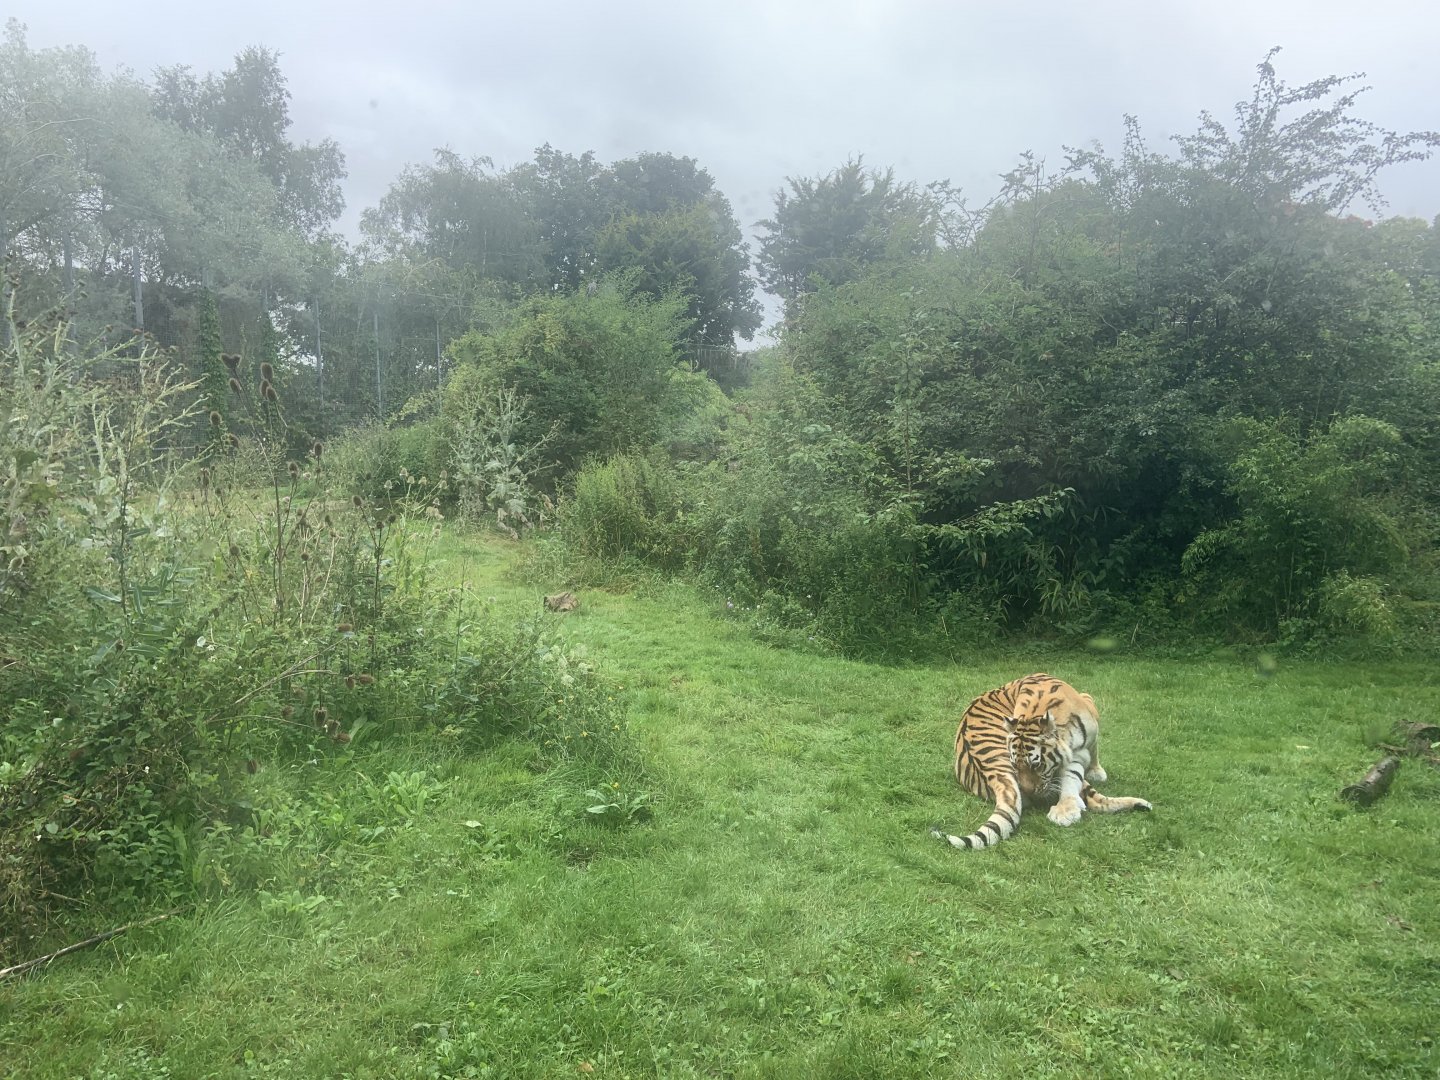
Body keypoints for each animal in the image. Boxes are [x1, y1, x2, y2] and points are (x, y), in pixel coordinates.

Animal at [931, 673, 1151, 850]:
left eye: (1036, 765)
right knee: (1096, 800)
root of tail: (990, 770)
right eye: (1016, 766)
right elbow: (1076, 773)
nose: (1028, 792)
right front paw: (1066, 809)